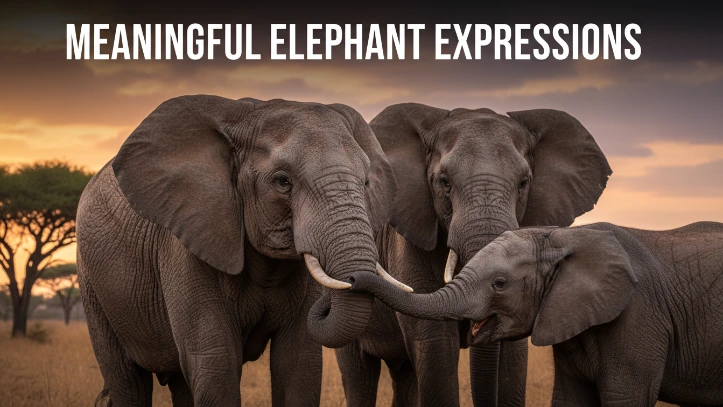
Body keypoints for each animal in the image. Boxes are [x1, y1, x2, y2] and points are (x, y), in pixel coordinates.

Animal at [76, 95, 407, 406]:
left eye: (366, 181)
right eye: (282, 181)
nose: (351, 281)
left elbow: (299, 364)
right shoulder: (187, 242)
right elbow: (217, 363)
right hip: (93, 287)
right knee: (127, 381)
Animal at [334, 104, 612, 406]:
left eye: (523, 183)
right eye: (444, 182)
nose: (354, 279)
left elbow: (512, 355)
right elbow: (435, 347)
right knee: (359, 374)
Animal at [346, 222, 723, 407]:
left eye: (499, 284)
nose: (351, 280)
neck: (562, 238)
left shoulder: (638, 315)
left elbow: (626, 397)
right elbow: (570, 399)